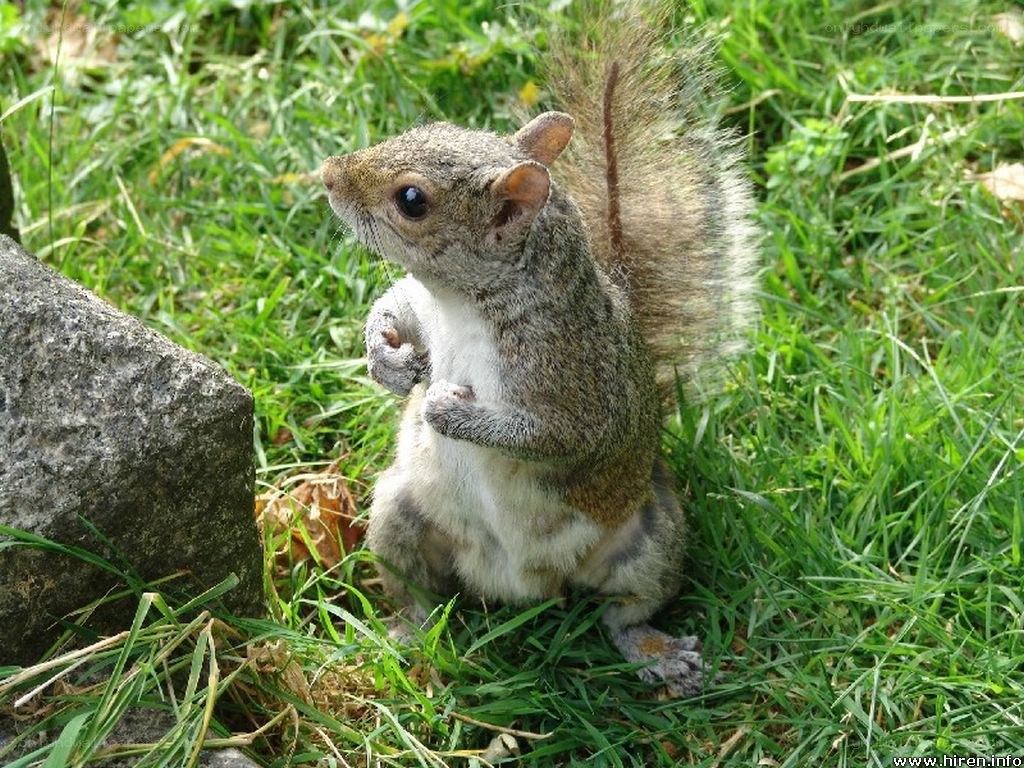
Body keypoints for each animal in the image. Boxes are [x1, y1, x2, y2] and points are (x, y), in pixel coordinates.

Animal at [320, 1, 759, 697]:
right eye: (430, 125)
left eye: (412, 200)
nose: (328, 175)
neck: (465, 303)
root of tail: (522, 587)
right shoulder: (426, 308)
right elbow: (395, 309)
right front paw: (387, 359)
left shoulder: (570, 374)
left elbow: (556, 435)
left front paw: (445, 408)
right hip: (398, 514)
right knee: (420, 592)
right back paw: (407, 632)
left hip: (650, 538)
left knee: (622, 611)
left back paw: (655, 651)